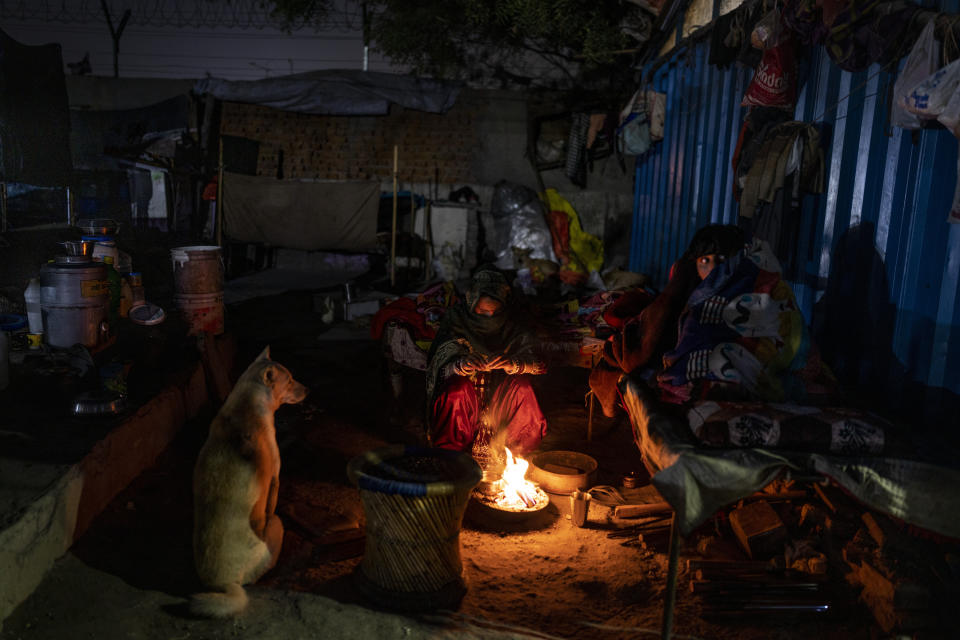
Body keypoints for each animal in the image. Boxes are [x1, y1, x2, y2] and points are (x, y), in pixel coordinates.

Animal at [188, 348, 306, 616]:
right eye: (290, 380)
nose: (307, 390)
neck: (247, 404)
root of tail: (223, 583)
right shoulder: (275, 477)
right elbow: (271, 504)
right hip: (277, 526)